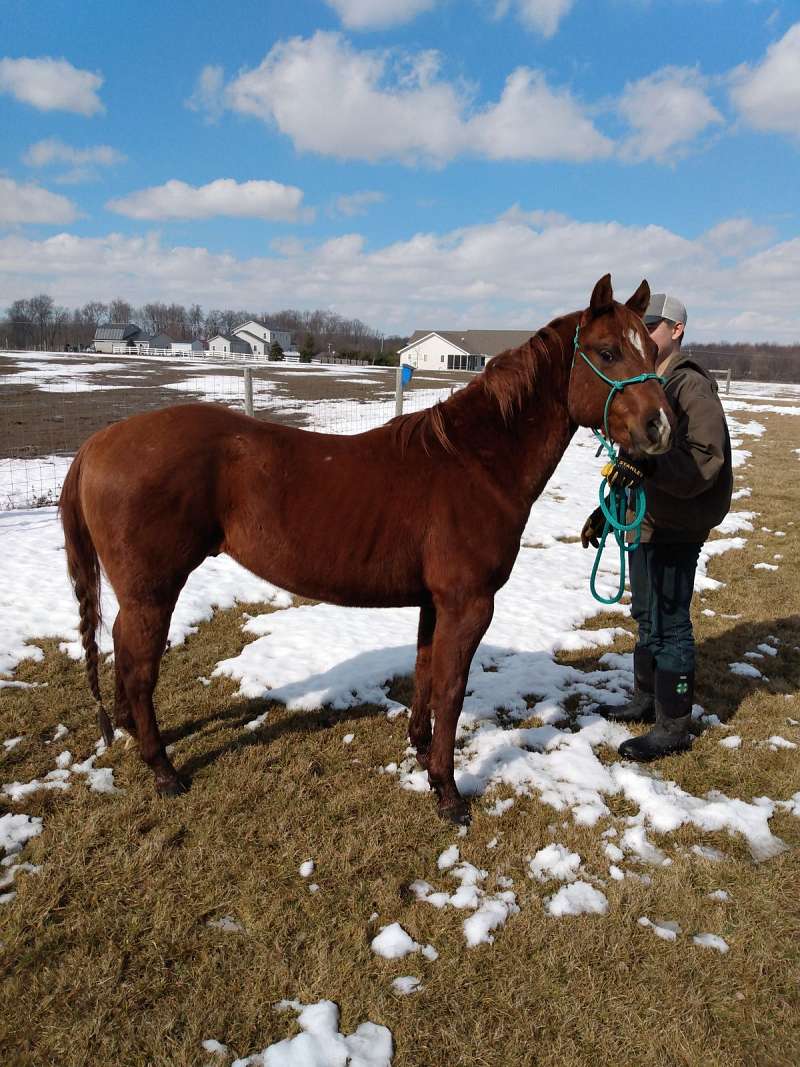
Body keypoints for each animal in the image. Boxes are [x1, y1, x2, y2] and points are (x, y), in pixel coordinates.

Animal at [59, 274, 673, 824]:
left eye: (652, 351)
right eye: (608, 351)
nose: (660, 428)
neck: (474, 464)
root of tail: (97, 444)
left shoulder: (435, 603)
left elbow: (426, 675)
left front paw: (422, 755)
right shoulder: (469, 603)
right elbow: (451, 689)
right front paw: (449, 794)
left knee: (122, 652)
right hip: (153, 591)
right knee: (138, 667)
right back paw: (163, 770)